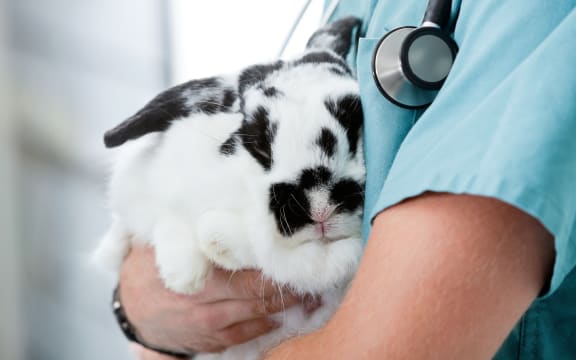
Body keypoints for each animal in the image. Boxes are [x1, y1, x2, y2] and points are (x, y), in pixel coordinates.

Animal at [94, 17, 364, 360]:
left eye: (356, 129)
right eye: (258, 142)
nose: (320, 205)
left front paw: (218, 241)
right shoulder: (141, 188)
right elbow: (162, 217)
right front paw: (184, 277)